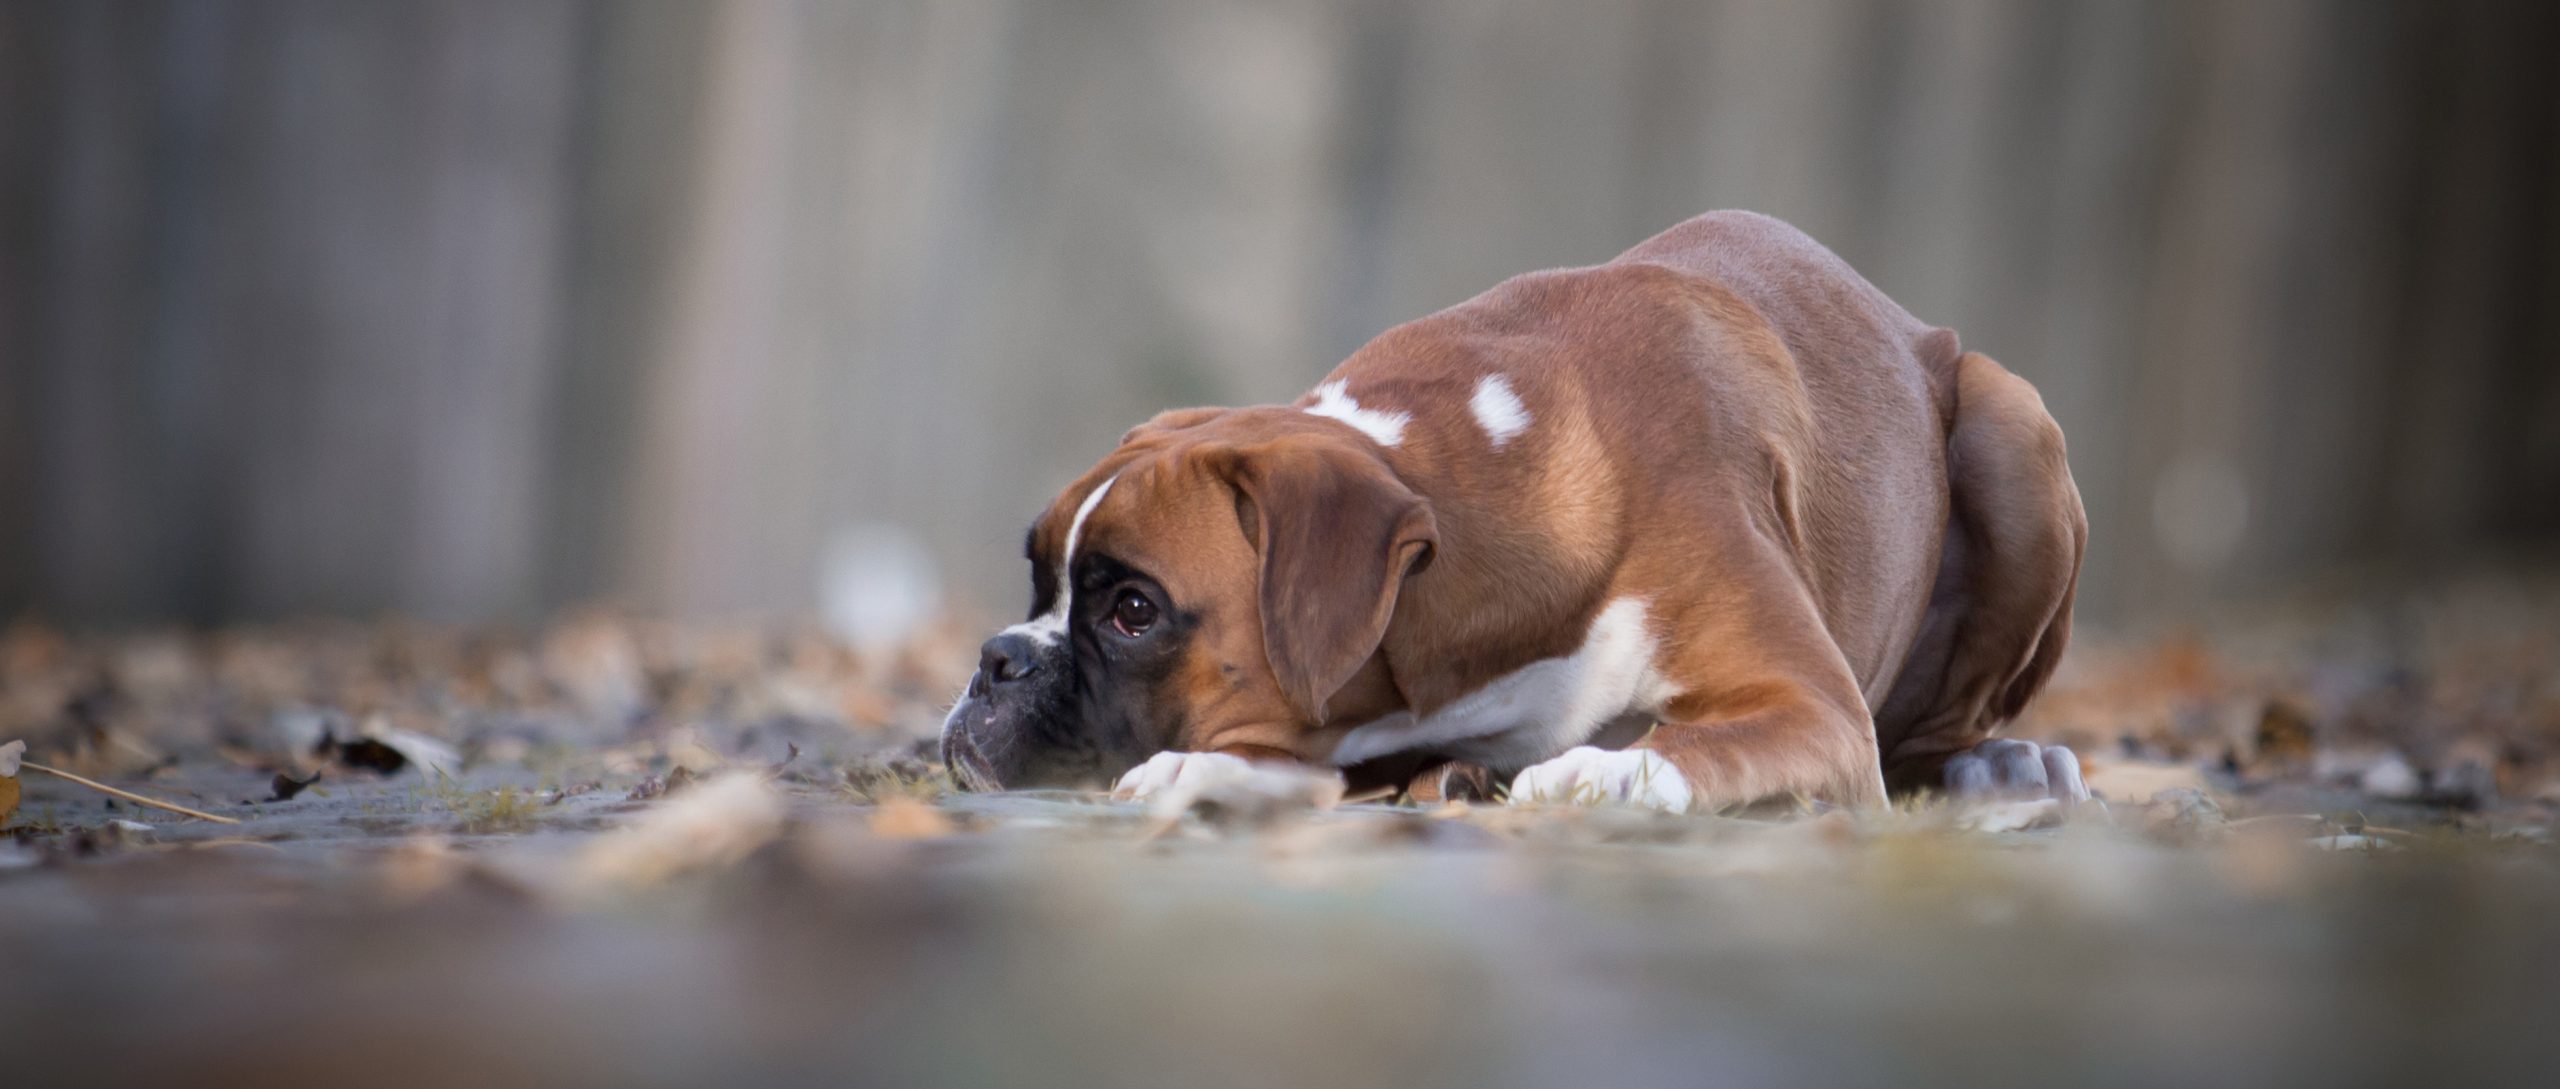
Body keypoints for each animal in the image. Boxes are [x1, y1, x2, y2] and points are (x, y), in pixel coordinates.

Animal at [936, 210, 2078, 804]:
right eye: (1036, 579)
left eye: (1133, 610)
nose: (998, 660)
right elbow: (1289, 761)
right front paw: (1200, 770)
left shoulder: (1811, 708)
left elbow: (1692, 746)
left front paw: (1602, 777)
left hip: (2013, 431)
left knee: (1941, 724)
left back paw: (2003, 763)